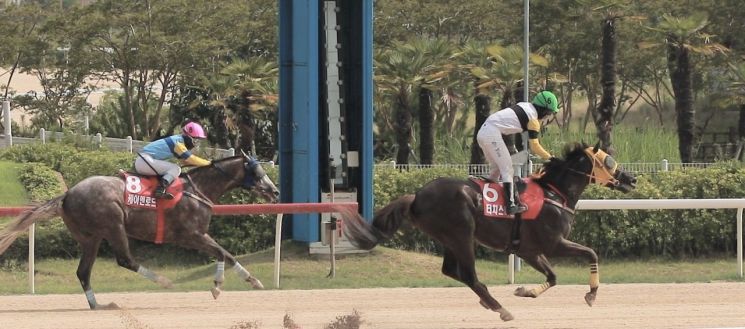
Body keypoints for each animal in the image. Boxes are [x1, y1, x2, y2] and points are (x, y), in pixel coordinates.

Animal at [0, 152, 280, 308]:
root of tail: (67, 194)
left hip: (90, 237)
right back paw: (165, 282)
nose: (275, 191)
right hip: (113, 224)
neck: (197, 189)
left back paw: (99, 305)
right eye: (258, 170)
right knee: (125, 260)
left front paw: (253, 281)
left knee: (83, 272)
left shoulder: (196, 235)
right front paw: (217, 286)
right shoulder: (191, 235)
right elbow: (222, 253)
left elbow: (228, 254)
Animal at [340, 142, 636, 320]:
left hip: (449, 238)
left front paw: (525, 291)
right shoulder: (553, 243)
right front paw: (591, 294)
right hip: (462, 234)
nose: (631, 178)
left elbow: (552, 277)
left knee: (451, 271)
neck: (555, 193)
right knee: (470, 275)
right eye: (609, 161)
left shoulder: (529, 250)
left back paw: (489, 302)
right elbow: (591, 253)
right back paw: (499, 307)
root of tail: (416, 196)